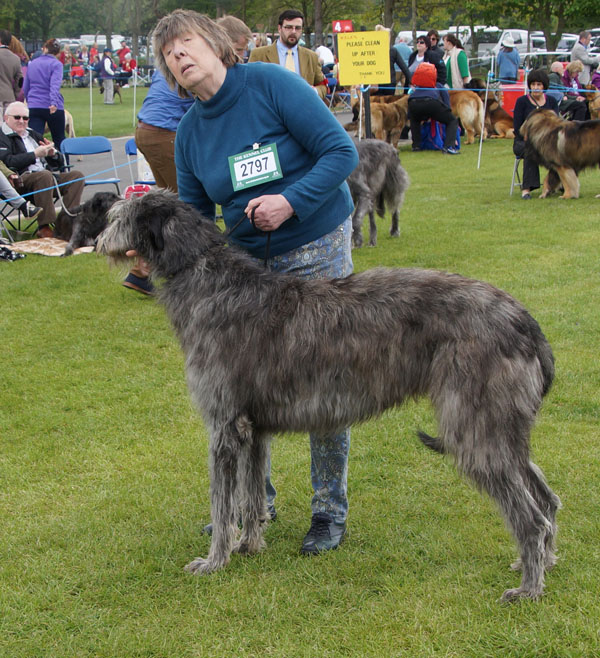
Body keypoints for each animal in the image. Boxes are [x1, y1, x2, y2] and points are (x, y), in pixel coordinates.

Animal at [96, 188, 560, 600]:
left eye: (118, 217)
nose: (98, 242)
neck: (208, 278)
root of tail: (524, 320)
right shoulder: (254, 429)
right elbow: (251, 495)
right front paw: (249, 545)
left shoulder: (224, 426)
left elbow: (222, 503)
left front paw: (214, 561)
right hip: (501, 427)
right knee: (546, 497)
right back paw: (542, 562)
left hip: (475, 426)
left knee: (531, 518)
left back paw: (529, 588)